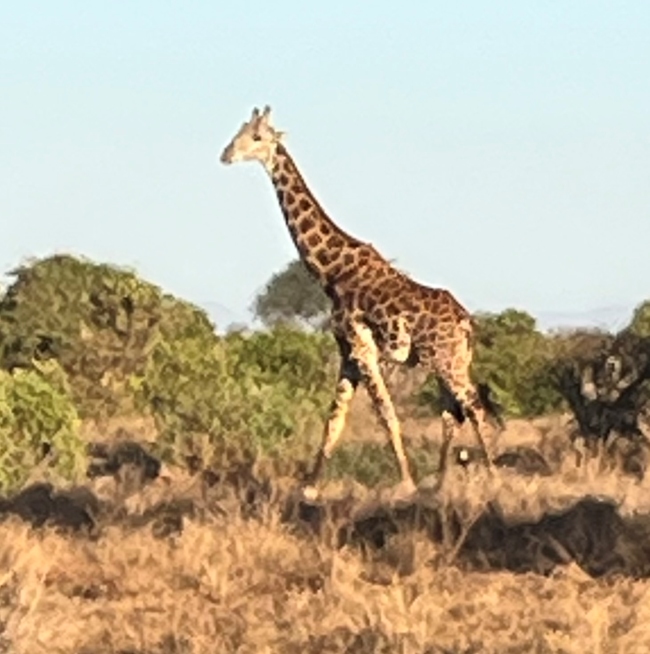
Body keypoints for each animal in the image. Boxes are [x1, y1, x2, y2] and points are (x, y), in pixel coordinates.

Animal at [220, 105, 502, 499]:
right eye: (240, 132)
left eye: (256, 137)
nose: (226, 154)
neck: (330, 270)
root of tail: (466, 321)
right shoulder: (347, 353)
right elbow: (333, 420)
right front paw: (310, 487)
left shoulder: (362, 347)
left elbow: (387, 415)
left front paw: (405, 483)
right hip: (448, 359)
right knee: (451, 413)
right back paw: (439, 484)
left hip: (447, 360)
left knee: (473, 407)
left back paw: (494, 479)